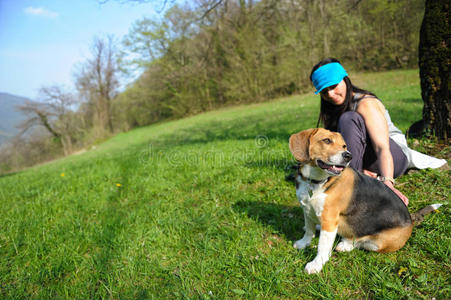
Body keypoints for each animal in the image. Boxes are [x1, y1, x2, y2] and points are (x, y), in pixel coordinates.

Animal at [290, 127, 442, 274]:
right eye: (327, 140)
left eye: (344, 146)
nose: (348, 155)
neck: (316, 181)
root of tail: (410, 219)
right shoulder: (307, 210)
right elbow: (309, 230)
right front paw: (304, 243)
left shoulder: (329, 219)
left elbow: (322, 246)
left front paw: (316, 264)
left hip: (378, 243)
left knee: (358, 242)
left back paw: (345, 245)